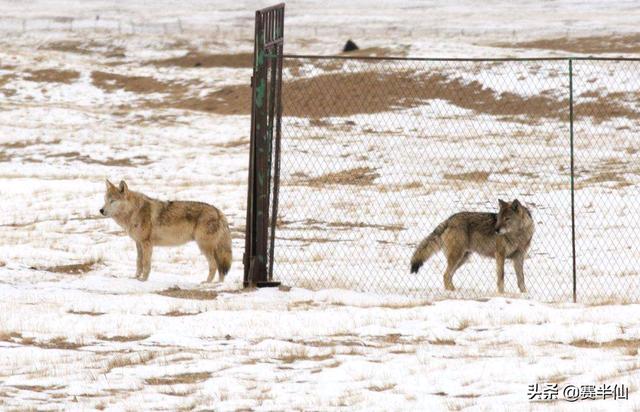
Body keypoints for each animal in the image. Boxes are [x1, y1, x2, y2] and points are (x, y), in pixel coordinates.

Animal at [99, 180, 231, 284]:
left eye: (112, 201)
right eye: (105, 200)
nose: (101, 210)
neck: (133, 212)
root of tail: (219, 212)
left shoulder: (147, 244)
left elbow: (146, 263)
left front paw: (143, 280)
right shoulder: (138, 243)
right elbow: (138, 262)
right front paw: (135, 278)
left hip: (204, 247)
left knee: (214, 265)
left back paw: (207, 283)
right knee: (221, 268)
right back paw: (219, 284)